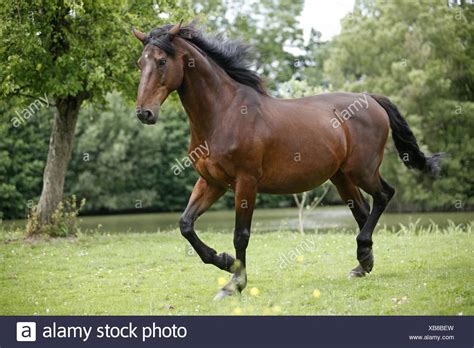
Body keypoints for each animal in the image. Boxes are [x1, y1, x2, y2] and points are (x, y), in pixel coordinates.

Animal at [131, 21, 442, 300]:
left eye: (161, 61)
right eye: (139, 63)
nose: (144, 113)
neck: (224, 113)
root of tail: (370, 98)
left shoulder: (246, 182)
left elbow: (241, 234)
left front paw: (235, 283)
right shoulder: (211, 182)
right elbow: (186, 224)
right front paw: (224, 261)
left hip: (362, 171)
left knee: (384, 195)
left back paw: (363, 255)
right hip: (341, 177)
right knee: (363, 210)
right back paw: (362, 264)